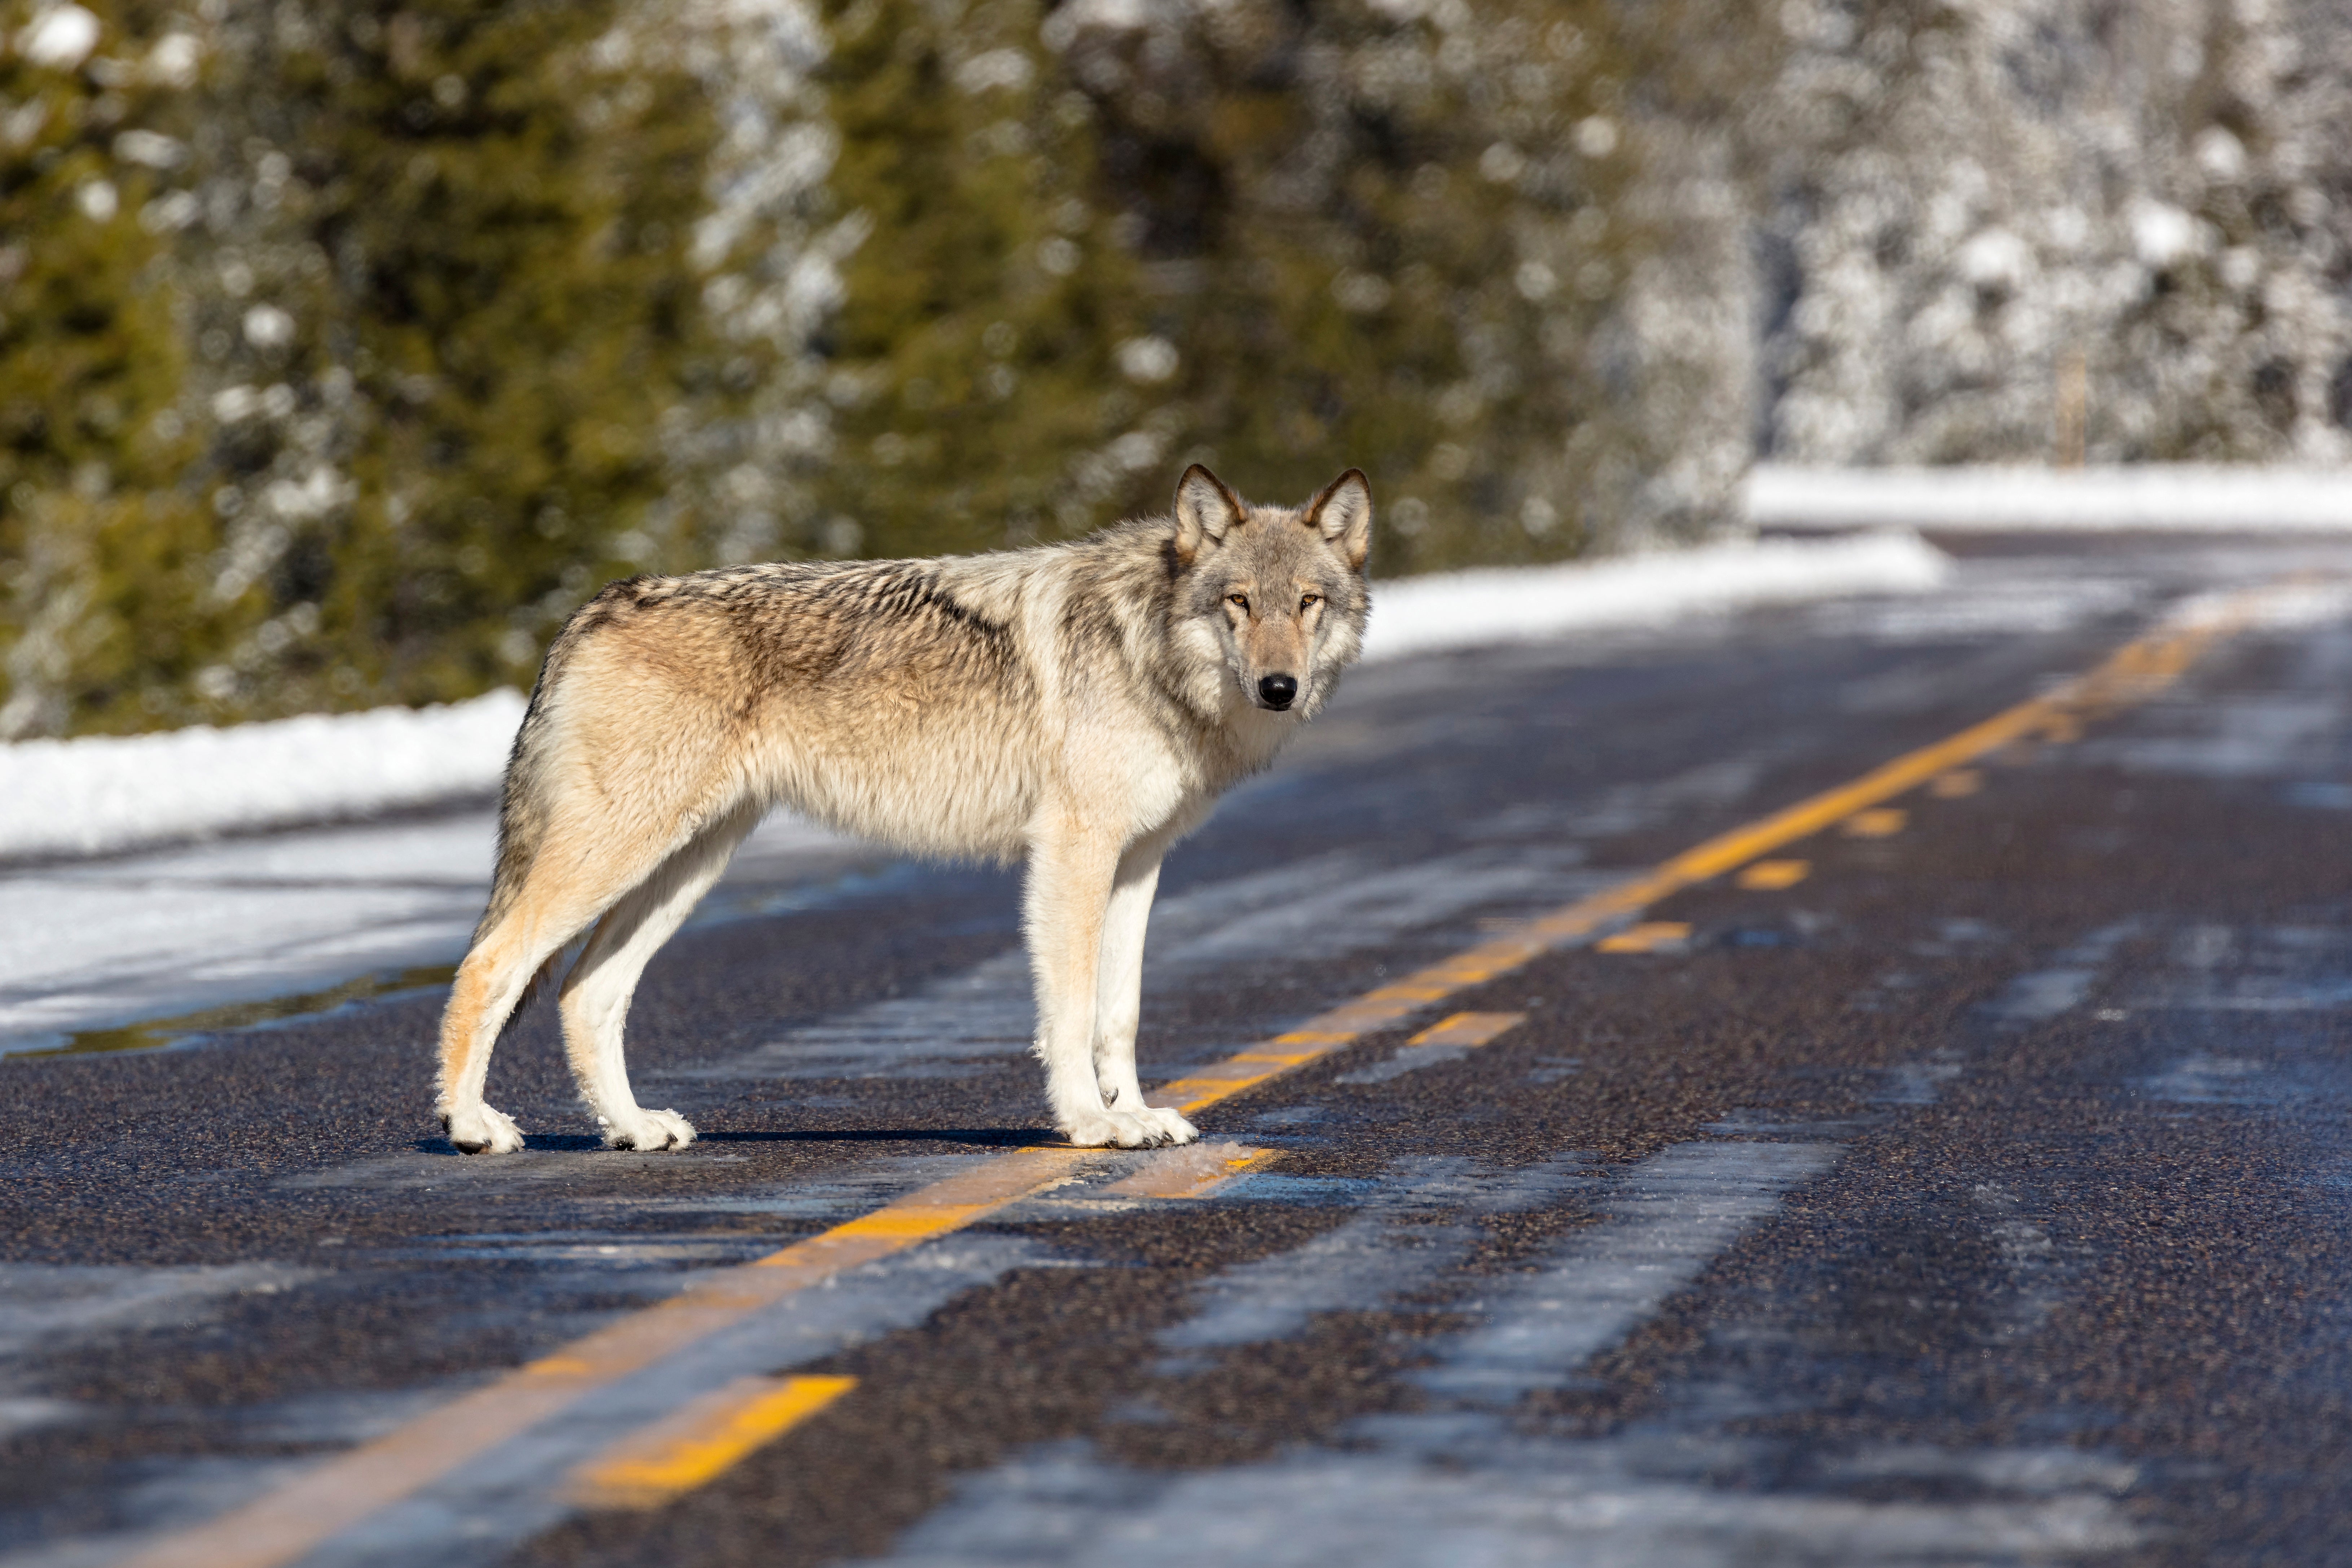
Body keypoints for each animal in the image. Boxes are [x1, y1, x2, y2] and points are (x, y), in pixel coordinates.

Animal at [432, 463, 1373, 1152]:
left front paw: (1135, 1114)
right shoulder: (1072, 852)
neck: (1147, 649)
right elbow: (1070, 1011)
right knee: (490, 962)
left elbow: (1120, 1012)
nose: (1279, 688)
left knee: (585, 992)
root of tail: (592, 607)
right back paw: (472, 1127)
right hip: (621, 855)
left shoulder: (1138, 861)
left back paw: (631, 1128)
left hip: (685, 867)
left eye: (1307, 603)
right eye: (1238, 603)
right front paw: (1090, 1124)